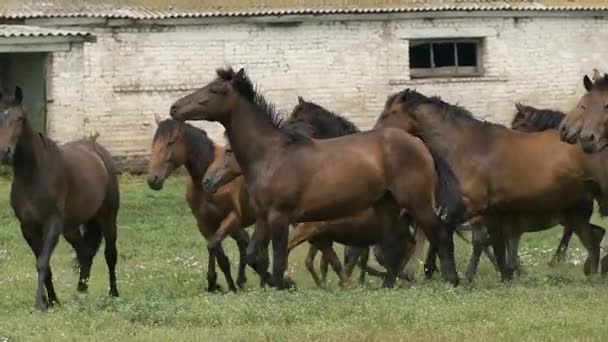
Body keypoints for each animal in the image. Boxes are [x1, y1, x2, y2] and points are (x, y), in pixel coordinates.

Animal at [0, 86, 120, 310]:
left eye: (20, 118)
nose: (4, 152)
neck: (34, 173)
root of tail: (98, 151)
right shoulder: (27, 228)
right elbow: (44, 265)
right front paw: (52, 301)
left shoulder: (52, 224)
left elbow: (42, 262)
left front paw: (40, 303)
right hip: (70, 227)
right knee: (85, 254)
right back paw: (81, 293)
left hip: (108, 217)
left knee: (110, 254)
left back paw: (113, 294)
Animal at [146, 117, 253, 292]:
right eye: (154, 142)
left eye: (170, 142)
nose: (152, 179)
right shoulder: (205, 224)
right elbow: (216, 251)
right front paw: (214, 284)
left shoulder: (233, 218)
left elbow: (214, 248)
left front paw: (225, 285)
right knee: (244, 240)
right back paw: (242, 280)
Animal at [169, 67, 464, 288]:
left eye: (214, 90)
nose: (174, 107)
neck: (271, 155)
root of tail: (419, 143)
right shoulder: (264, 217)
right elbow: (254, 257)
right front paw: (282, 283)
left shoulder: (280, 216)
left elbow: (278, 258)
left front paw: (283, 284)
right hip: (386, 205)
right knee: (395, 245)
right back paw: (388, 285)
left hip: (416, 201)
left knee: (438, 234)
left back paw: (452, 280)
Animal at [376, 89, 608, 280]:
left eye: (388, 114)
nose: (374, 134)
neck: (467, 147)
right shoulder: (491, 211)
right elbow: (494, 242)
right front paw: (506, 274)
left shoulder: (472, 206)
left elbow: (456, 234)